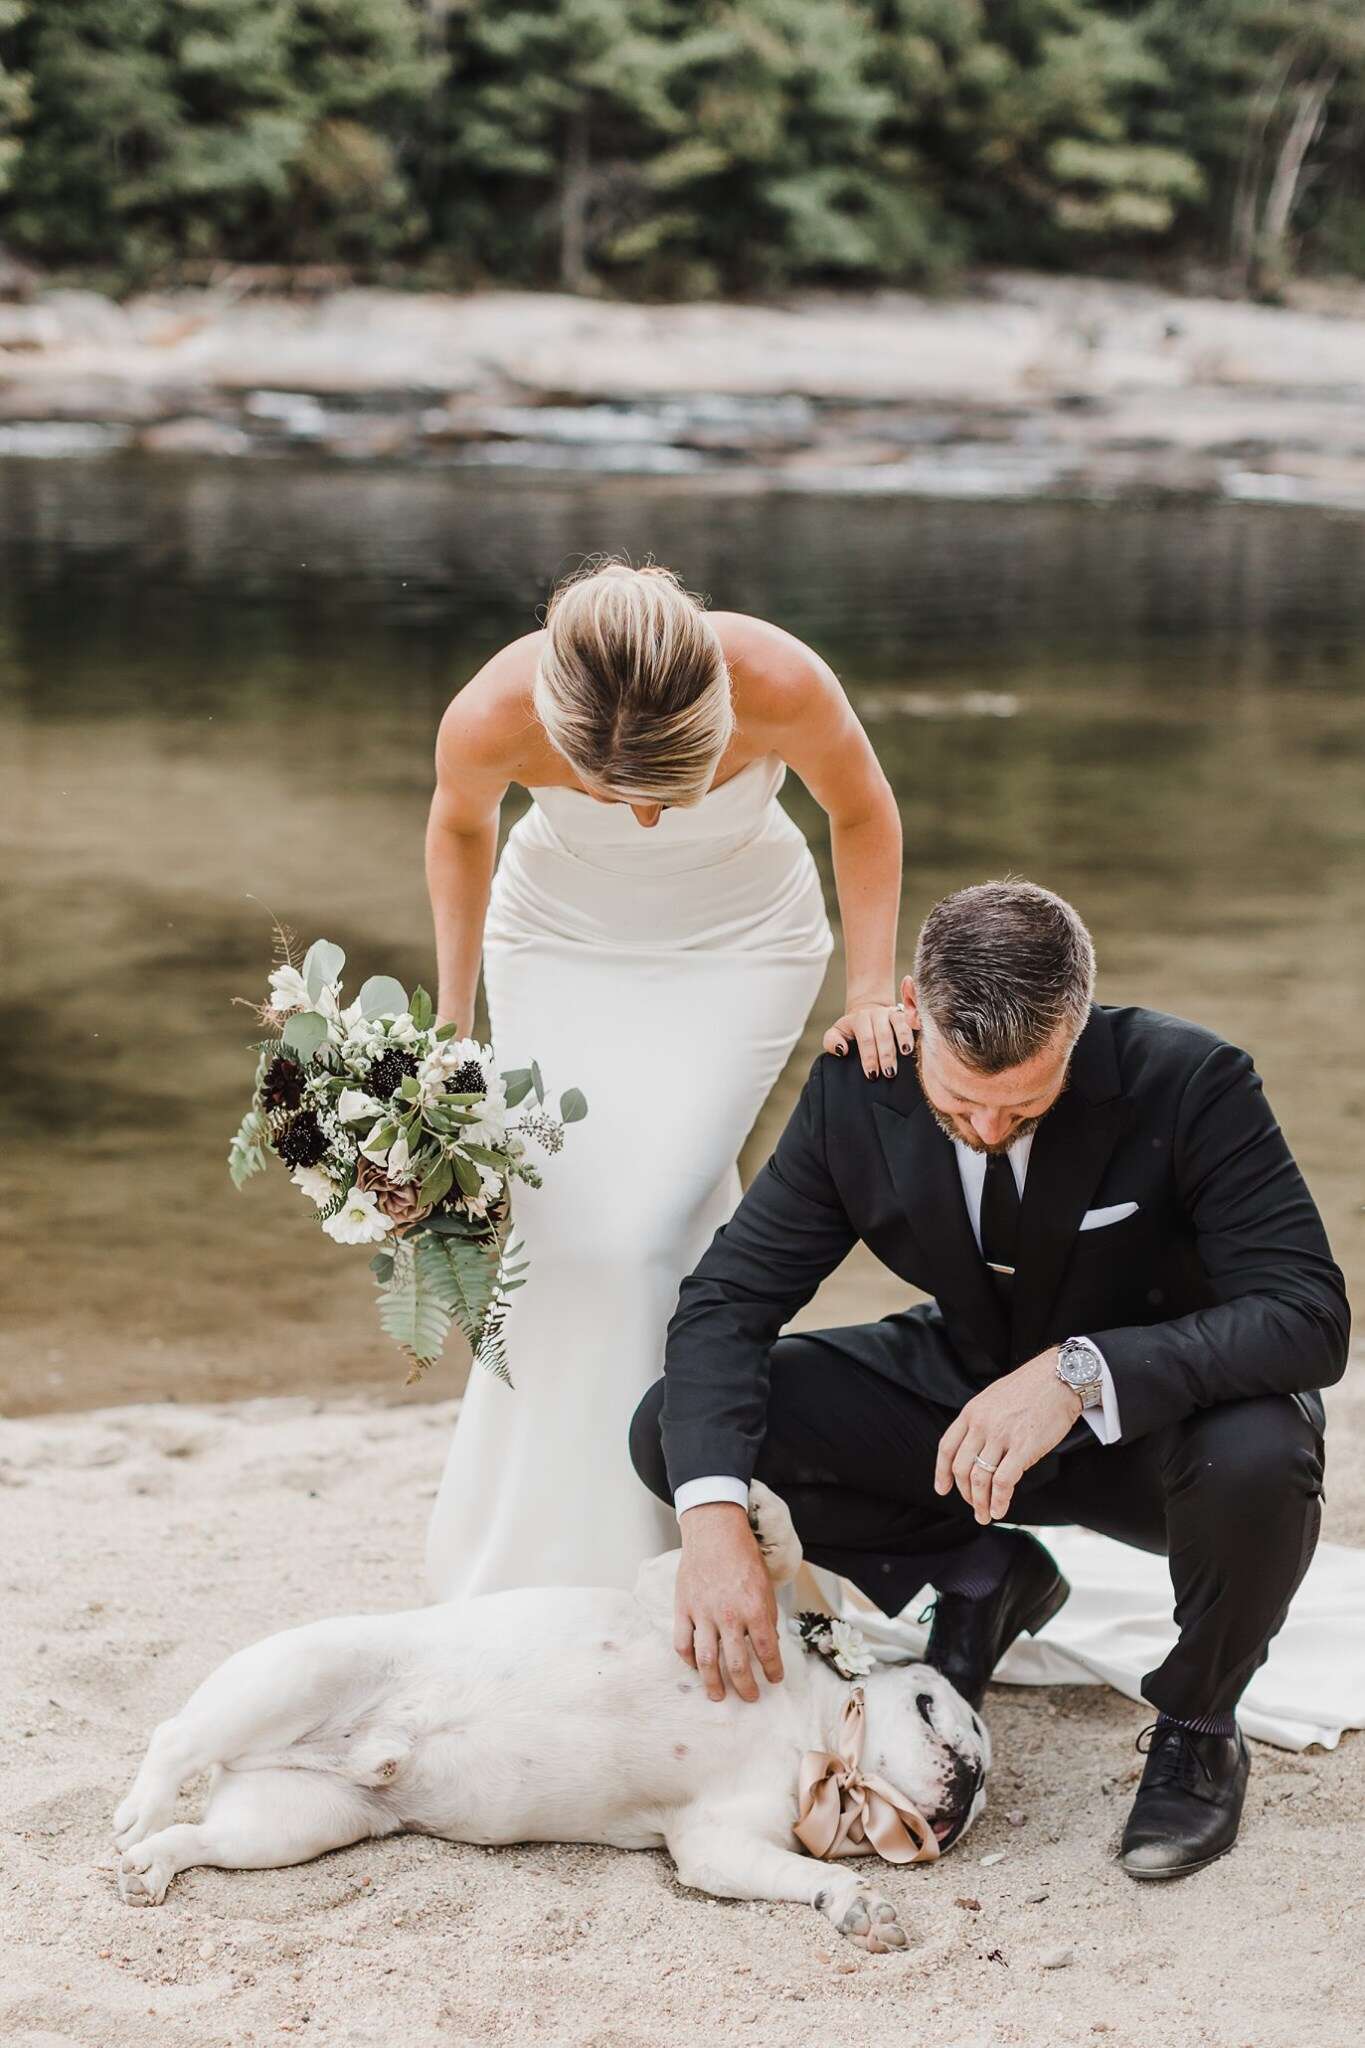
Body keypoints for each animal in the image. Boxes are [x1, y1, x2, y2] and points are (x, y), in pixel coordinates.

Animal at [114, 1482, 994, 1941]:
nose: (977, 1779)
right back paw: (139, 1811)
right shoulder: (682, 1594)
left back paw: (151, 1863)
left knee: (207, 1837)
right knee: (175, 1736)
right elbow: (765, 1562)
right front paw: (763, 1524)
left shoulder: (719, 1841)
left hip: (292, 1826)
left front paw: (852, 1904)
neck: (812, 1732)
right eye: (949, 1714)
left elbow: (799, 1874)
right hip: (305, 1671)